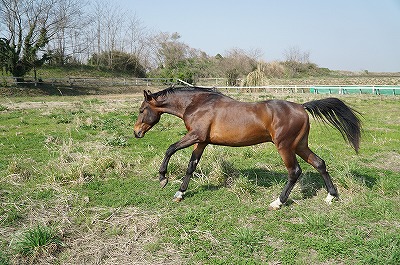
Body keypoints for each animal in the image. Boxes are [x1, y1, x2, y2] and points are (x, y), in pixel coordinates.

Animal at [133, 86, 360, 208]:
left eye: (142, 109)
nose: (136, 132)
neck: (197, 105)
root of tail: (301, 107)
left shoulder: (194, 136)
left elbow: (170, 149)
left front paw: (163, 178)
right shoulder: (202, 141)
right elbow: (191, 166)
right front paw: (180, 193)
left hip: (285, 146)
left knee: (294, 171)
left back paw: (278, 202)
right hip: (300, 145)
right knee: (320, 163)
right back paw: (331, 196)